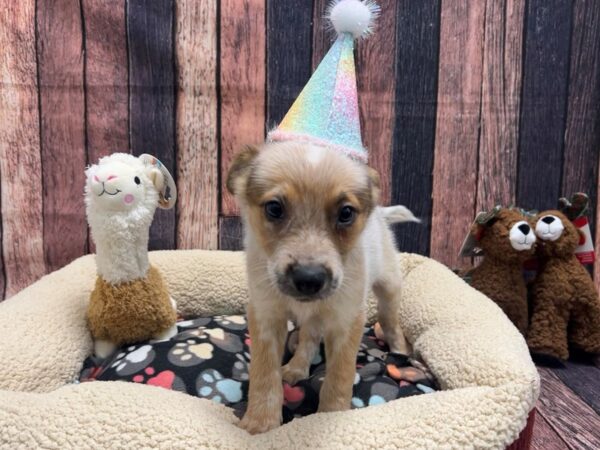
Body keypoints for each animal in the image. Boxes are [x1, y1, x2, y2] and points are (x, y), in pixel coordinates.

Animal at [227, 142, 420, 434]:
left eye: (346, 213)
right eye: (274, 208)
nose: (309, 278)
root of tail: (379, 215)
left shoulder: (346, 319)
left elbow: (339, 377)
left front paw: (331, 416)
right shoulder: (265, 314)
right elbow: (264, 374)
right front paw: (259, 424)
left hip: (389, 286)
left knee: (390, 322)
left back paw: (399, 352)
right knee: (308, 337)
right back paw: (296, 368)